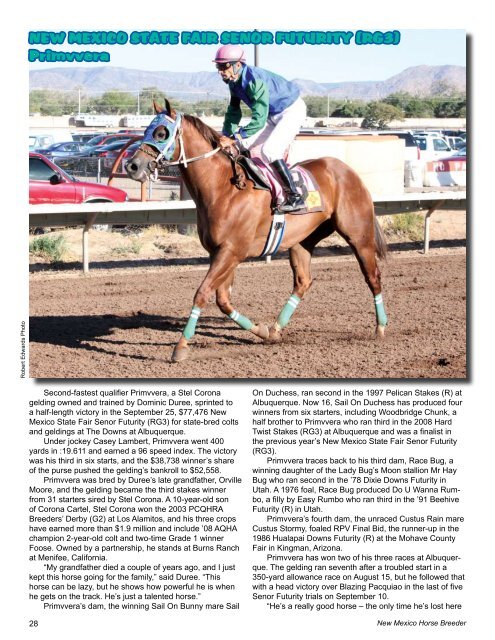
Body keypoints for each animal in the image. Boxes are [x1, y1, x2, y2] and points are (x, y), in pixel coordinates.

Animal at [126, 99, 390, 360]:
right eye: (147, 129)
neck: (223, 188)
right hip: (302, 241)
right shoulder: (220, 253)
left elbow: (202, 293)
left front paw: (181, 346)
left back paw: (380, 327)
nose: (132, 166)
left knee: (373, 276)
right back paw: (276, 328)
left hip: (359, 236)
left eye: (161, 133)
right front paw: (261, 331)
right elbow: (223, 300)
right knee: (303, 281)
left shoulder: (231, 252)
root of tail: (347, 170)